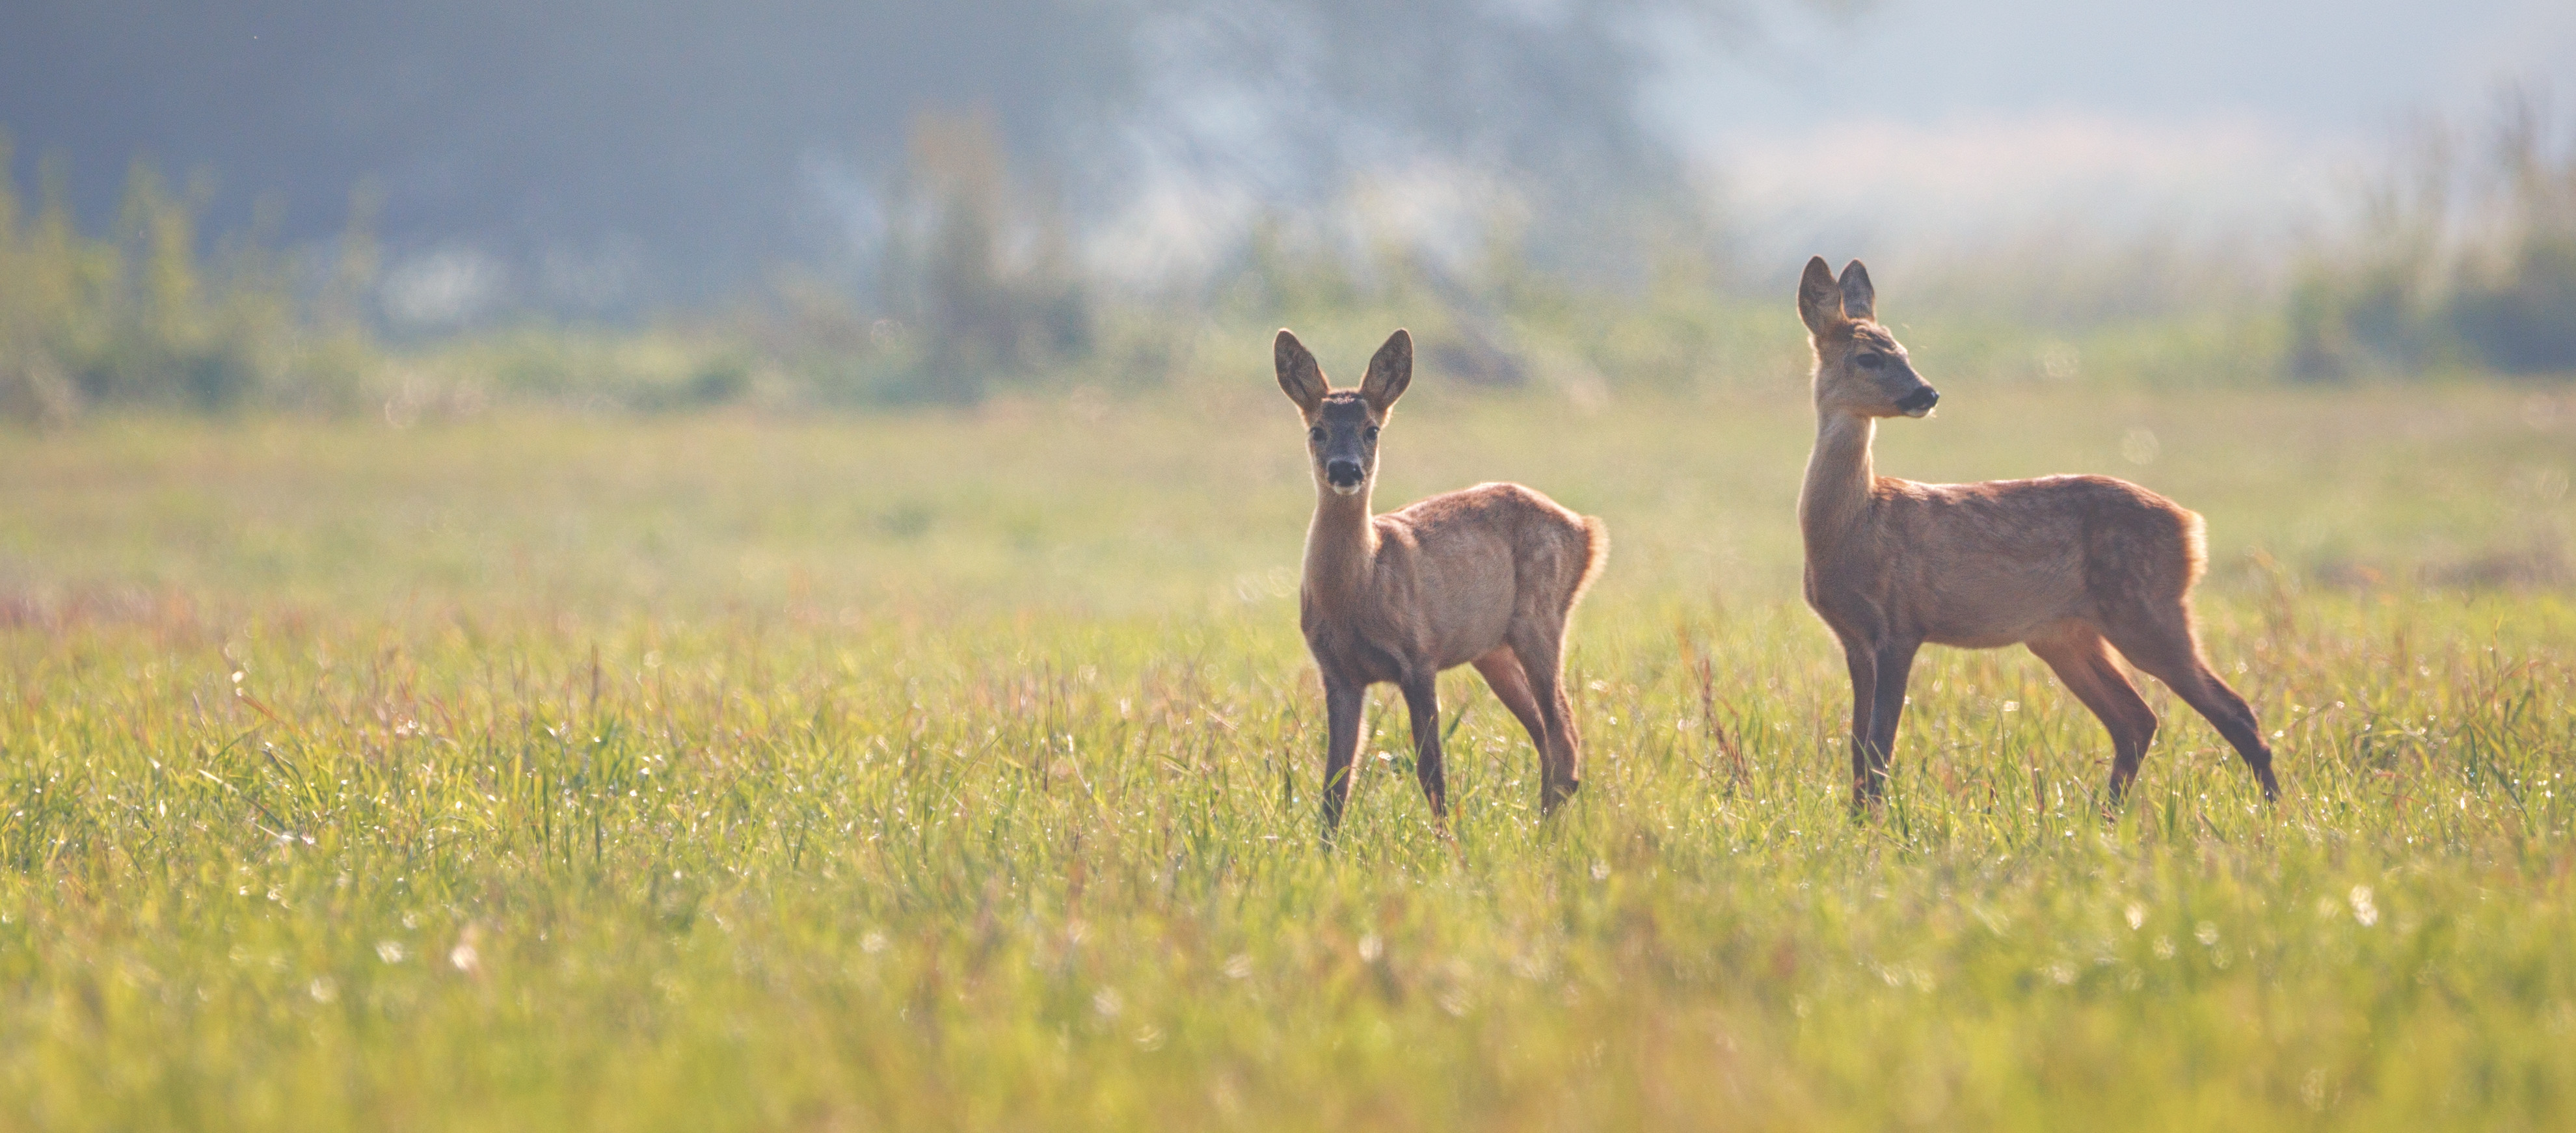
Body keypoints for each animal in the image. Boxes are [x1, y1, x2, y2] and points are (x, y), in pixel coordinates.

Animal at [1272, 327, 1607, 834]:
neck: (1360, 588)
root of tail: (1586, 531)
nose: (1345, 469)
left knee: (1562, 734)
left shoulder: (1419, 656)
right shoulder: (1338, 672)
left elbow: (1431, 773)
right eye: (1317, 430)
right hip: (1493, 650)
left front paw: (1447, 844)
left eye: (1371, 429)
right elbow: (1335, 784)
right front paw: (1325, 849)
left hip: (1541, 617)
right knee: (1548, 735)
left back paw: (1545, 834)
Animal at [1793, 256, 2277, 803]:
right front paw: (1857, 818)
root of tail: (2191, 527)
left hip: (2147, 609)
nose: (1927, 393)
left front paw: (1878, 823)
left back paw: (2272, 810)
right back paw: (2106, 814)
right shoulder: (1853, 637)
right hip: (2063, 634)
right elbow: (1858, 749)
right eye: (1868, 357)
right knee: (2137, 719)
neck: (1856, 525)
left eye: (1904, 351)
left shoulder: (1901, 624)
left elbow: (1879, 749)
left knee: (2234, 711)